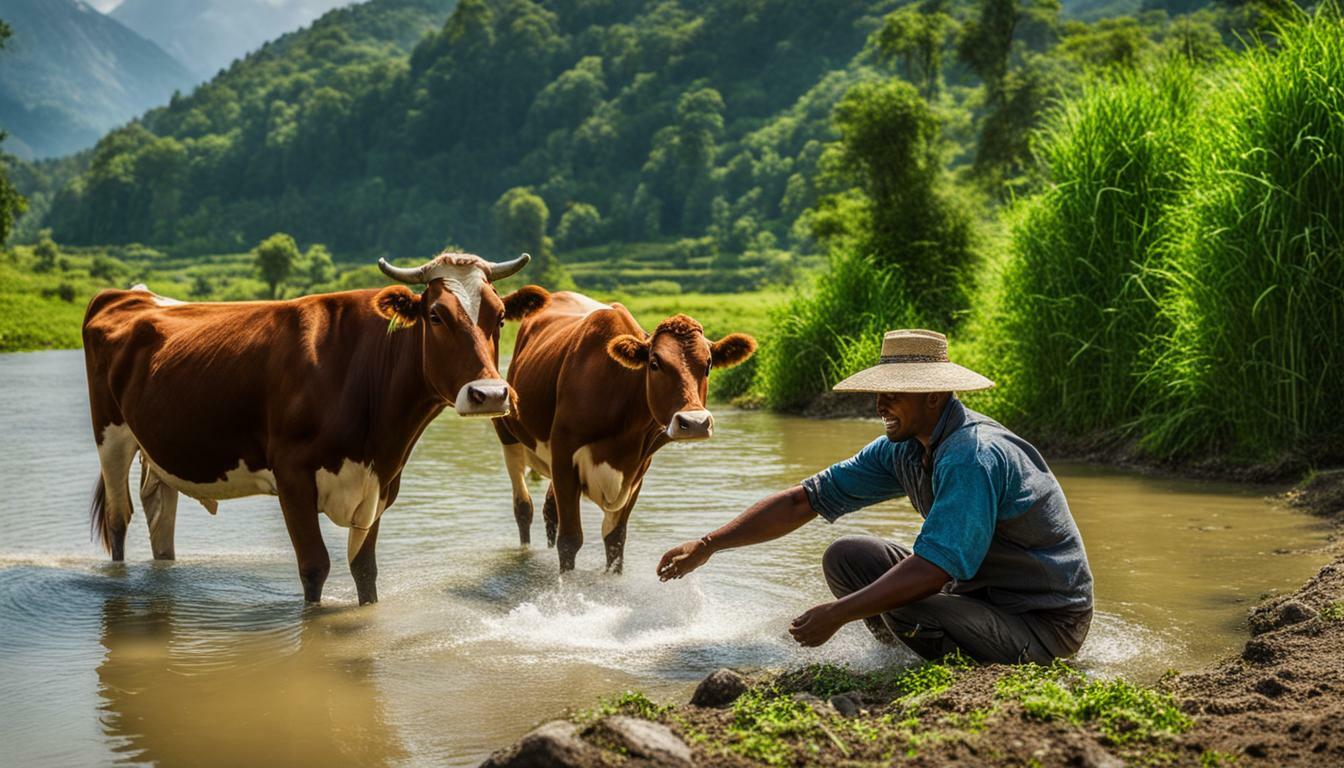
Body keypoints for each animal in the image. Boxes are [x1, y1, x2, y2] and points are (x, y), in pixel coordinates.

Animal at [82, 252, 551, 607]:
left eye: (501, 317)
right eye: (436, 315)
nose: (489, 394)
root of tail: (131, 294)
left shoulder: (381, 482)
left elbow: (364, 569)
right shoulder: (292, 476)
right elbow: (314, 566)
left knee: (160, 513)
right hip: (111, 437)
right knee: (119, 517)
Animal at [494, 291, 758, 572]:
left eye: (708, 364)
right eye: (654, 363)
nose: (695, 422)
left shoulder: (637, 471)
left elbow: (615, 539)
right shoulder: (564, 458)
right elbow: (570, 540)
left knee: (549, 509)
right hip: (508, 434)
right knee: (524, 508)